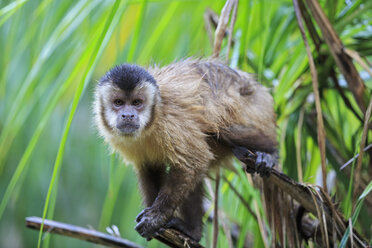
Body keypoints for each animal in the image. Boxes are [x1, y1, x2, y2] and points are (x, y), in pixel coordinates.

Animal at [94, 57, 278, 240]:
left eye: (137, 102)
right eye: (118, 103)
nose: (128, 115)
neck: (153, 120)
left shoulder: (171, 122)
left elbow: (194, 162)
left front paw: (156, 217)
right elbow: (150, 167)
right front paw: (157, 223)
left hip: (255, 106)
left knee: (224, 127)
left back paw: (271, 152)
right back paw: (193, 232)